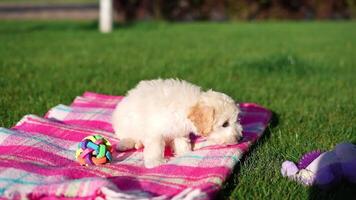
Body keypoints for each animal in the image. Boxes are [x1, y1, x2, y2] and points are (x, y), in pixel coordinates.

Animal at [112, 79, 243, 168]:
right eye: (225, 124)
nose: (240, 138)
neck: (187, 107)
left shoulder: (180, 131)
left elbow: (182, 143)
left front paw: (184, 153)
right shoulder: (155, 130)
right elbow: (156, 147)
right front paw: (155, 162)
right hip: (125, 125)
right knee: (127, 136)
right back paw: (126, 144)